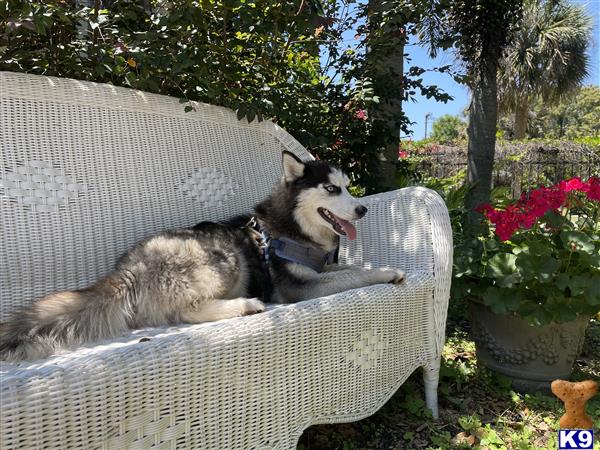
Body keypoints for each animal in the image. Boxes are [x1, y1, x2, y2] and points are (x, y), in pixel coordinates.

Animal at [0, 151, 406, 362]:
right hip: (223, 257)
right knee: (185, 311)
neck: (291, 227)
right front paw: (388, 271)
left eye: (349, 188)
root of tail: (129, 268)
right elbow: (352, 275)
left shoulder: (322, 269)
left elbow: (348, 266)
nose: (362, 210)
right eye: (331, 189)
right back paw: (245, 306)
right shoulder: (297, 289)